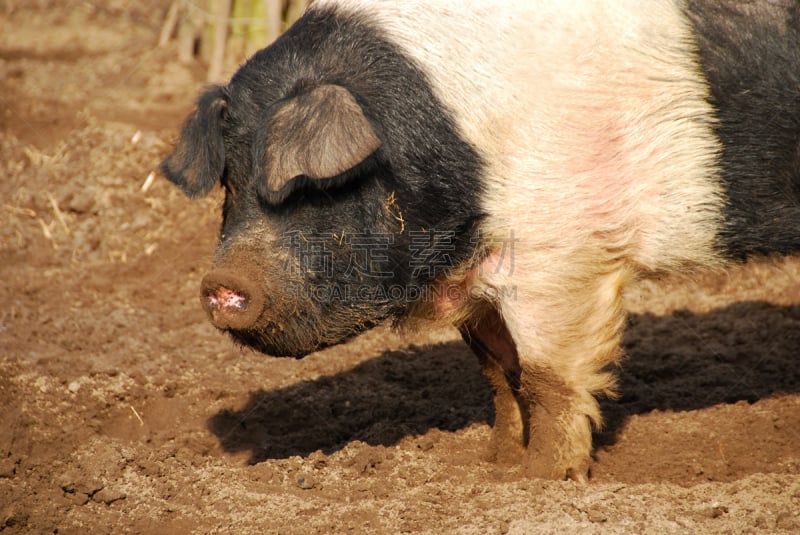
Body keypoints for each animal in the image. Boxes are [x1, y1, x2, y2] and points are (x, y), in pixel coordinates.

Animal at [161, 0, 800, 484]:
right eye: (230, 183)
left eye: (309, 187)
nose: (219, 284)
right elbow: (499, 373)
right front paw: (495, 464)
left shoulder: (560, 254)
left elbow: (546, 378)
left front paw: (541, 481)